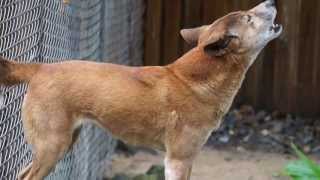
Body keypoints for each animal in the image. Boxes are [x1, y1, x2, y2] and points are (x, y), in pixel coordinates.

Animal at [0, 0, 282, 179]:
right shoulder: (177, 160)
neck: (195, 81)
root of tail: (40, 67)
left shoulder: (188, 160)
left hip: (63, 142)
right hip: (52, 146)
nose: (270, 1)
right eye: (248, 17)